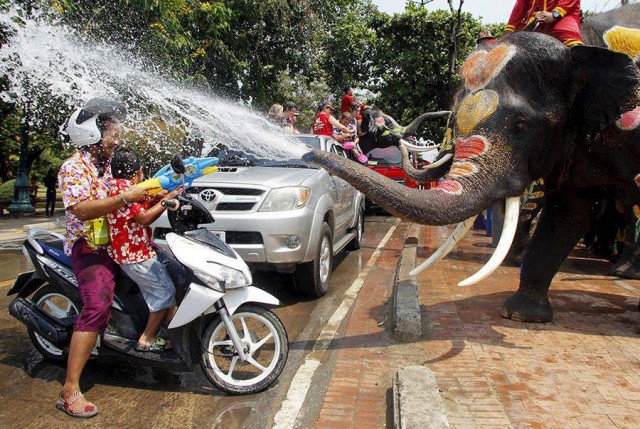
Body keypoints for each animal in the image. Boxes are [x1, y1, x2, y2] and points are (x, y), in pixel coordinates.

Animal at [302, 26, 640, 320]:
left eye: (522, 126)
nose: (306, 155)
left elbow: (571, 211)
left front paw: (518, 315)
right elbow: (571, 211)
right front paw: (521, 315)